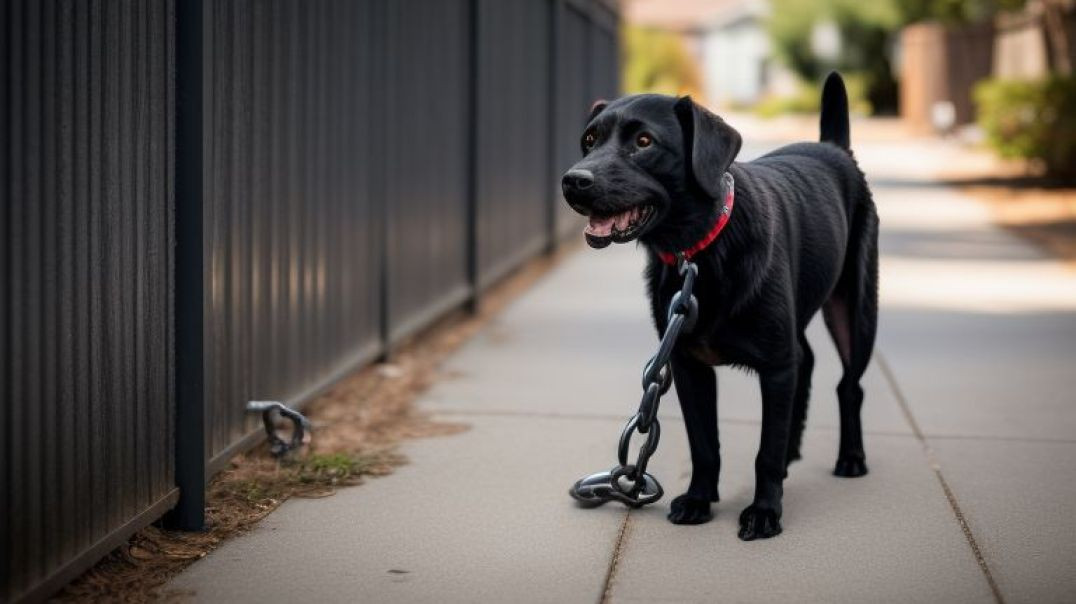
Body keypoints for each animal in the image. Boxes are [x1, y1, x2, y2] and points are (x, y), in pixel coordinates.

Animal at [559, 73, 878, 538]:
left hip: (855, 312)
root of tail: (835, 148)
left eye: (643, 141)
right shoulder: (688, 366)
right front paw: (698, 500)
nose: (573, 180)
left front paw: (765, 511)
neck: (698, 251)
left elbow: (765, 451)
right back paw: (793, 453)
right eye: (589, 140)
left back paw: (851, 458)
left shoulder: (776, 367)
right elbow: (705, 444)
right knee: (808, 360)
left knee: (849, 385)